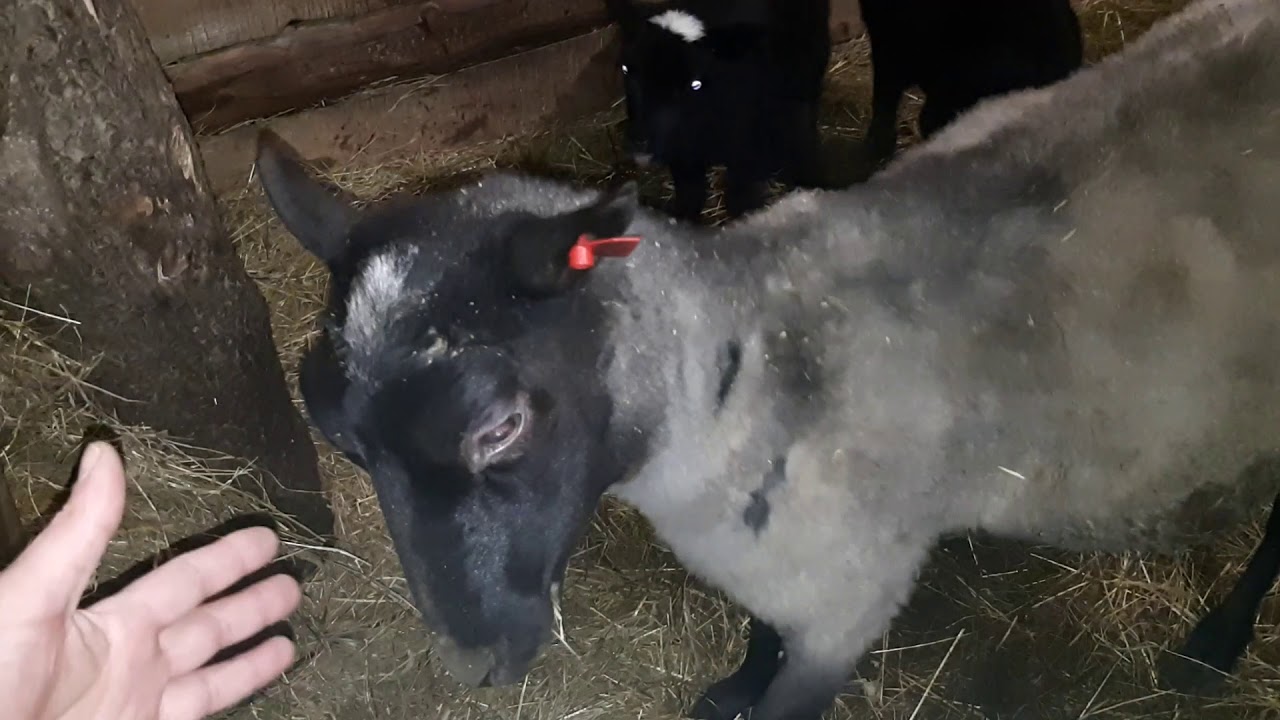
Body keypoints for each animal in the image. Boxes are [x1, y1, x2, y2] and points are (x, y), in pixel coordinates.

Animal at [605, 0, 833, 222]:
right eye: (626, 70)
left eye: (695, 84)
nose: (639, 142)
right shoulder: (681, 148)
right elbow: (690, 193)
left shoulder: (747, 144)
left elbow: (741, 199)